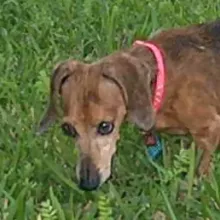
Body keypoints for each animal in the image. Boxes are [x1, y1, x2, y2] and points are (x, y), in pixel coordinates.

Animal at [37, 19, 220, 191]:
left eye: (105, 126)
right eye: (67, 129)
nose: (88, 184)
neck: (163, 78)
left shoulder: (209, 130)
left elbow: (201, 167)